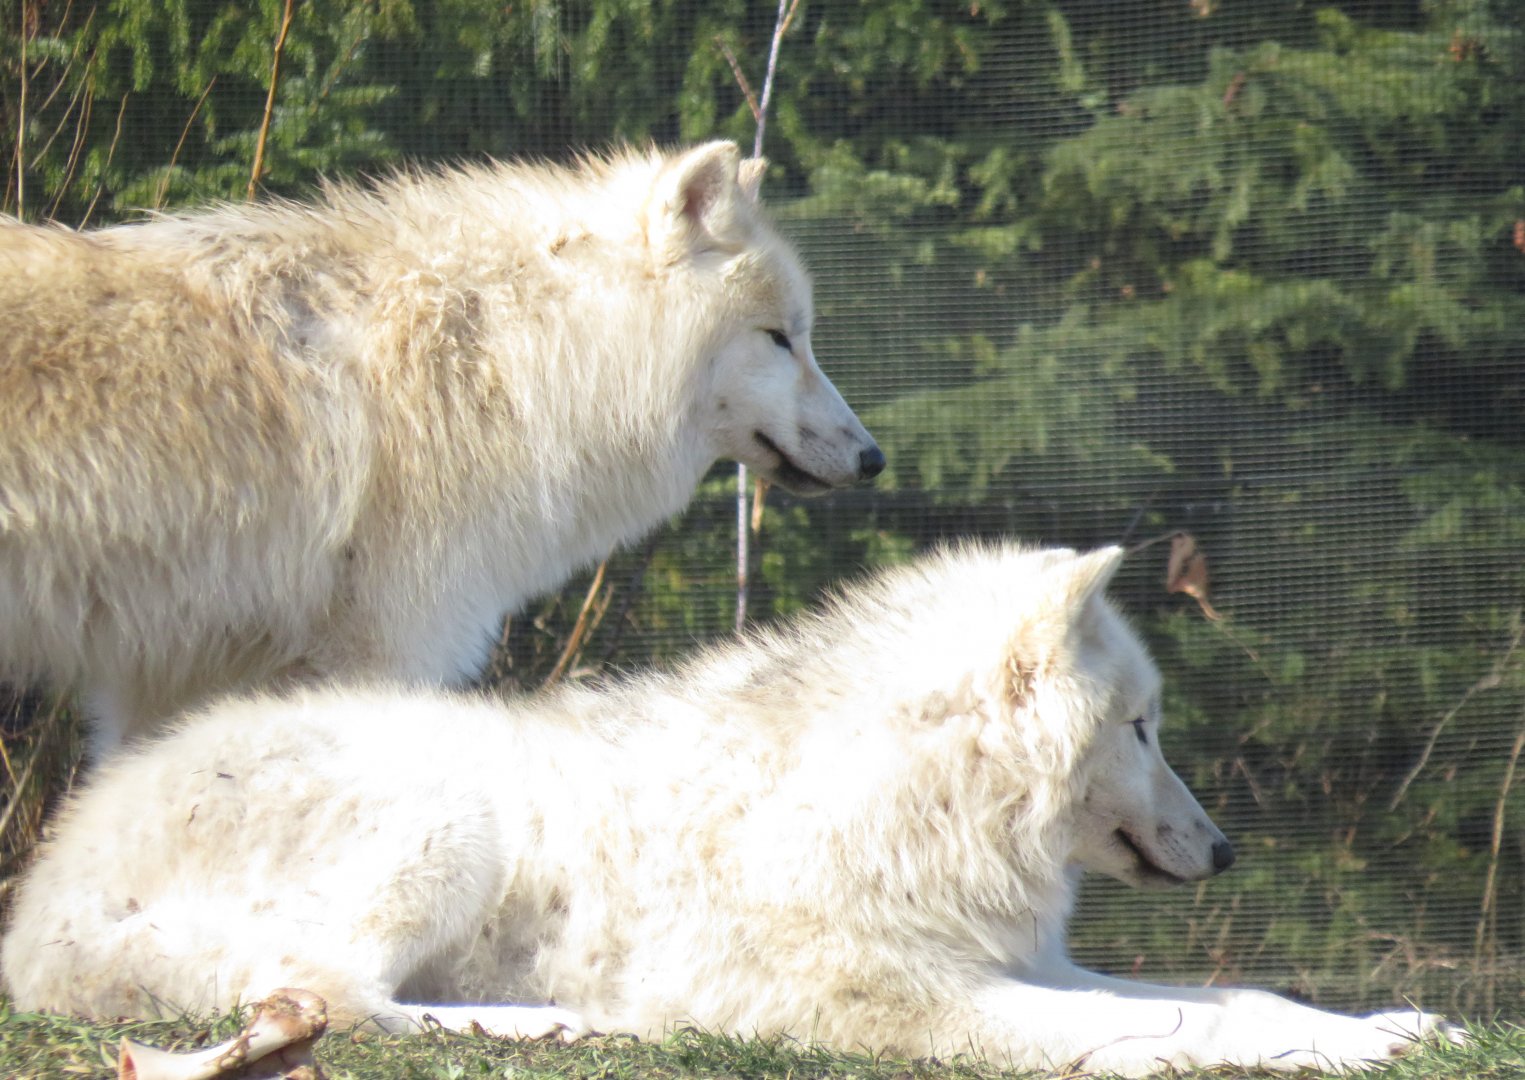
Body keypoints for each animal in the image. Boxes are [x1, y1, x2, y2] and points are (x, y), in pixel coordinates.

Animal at [0, 141, 882, 759]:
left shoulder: (163, 679)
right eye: (779, 338)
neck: (513, 359)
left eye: (802, 335)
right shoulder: (386, 649)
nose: (872, 458)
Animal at [1, 542, 1459, 1075]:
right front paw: (1353, 1052)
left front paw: (1395, 1024)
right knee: (331, 998)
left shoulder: (1024, 962)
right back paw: (579, 1024)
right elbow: (1184, 1027)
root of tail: (44, 903)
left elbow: (1241, 994)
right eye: (1144, 729)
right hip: (441, 821)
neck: (913, 808)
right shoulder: (917, 1003)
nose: (1223, 850)